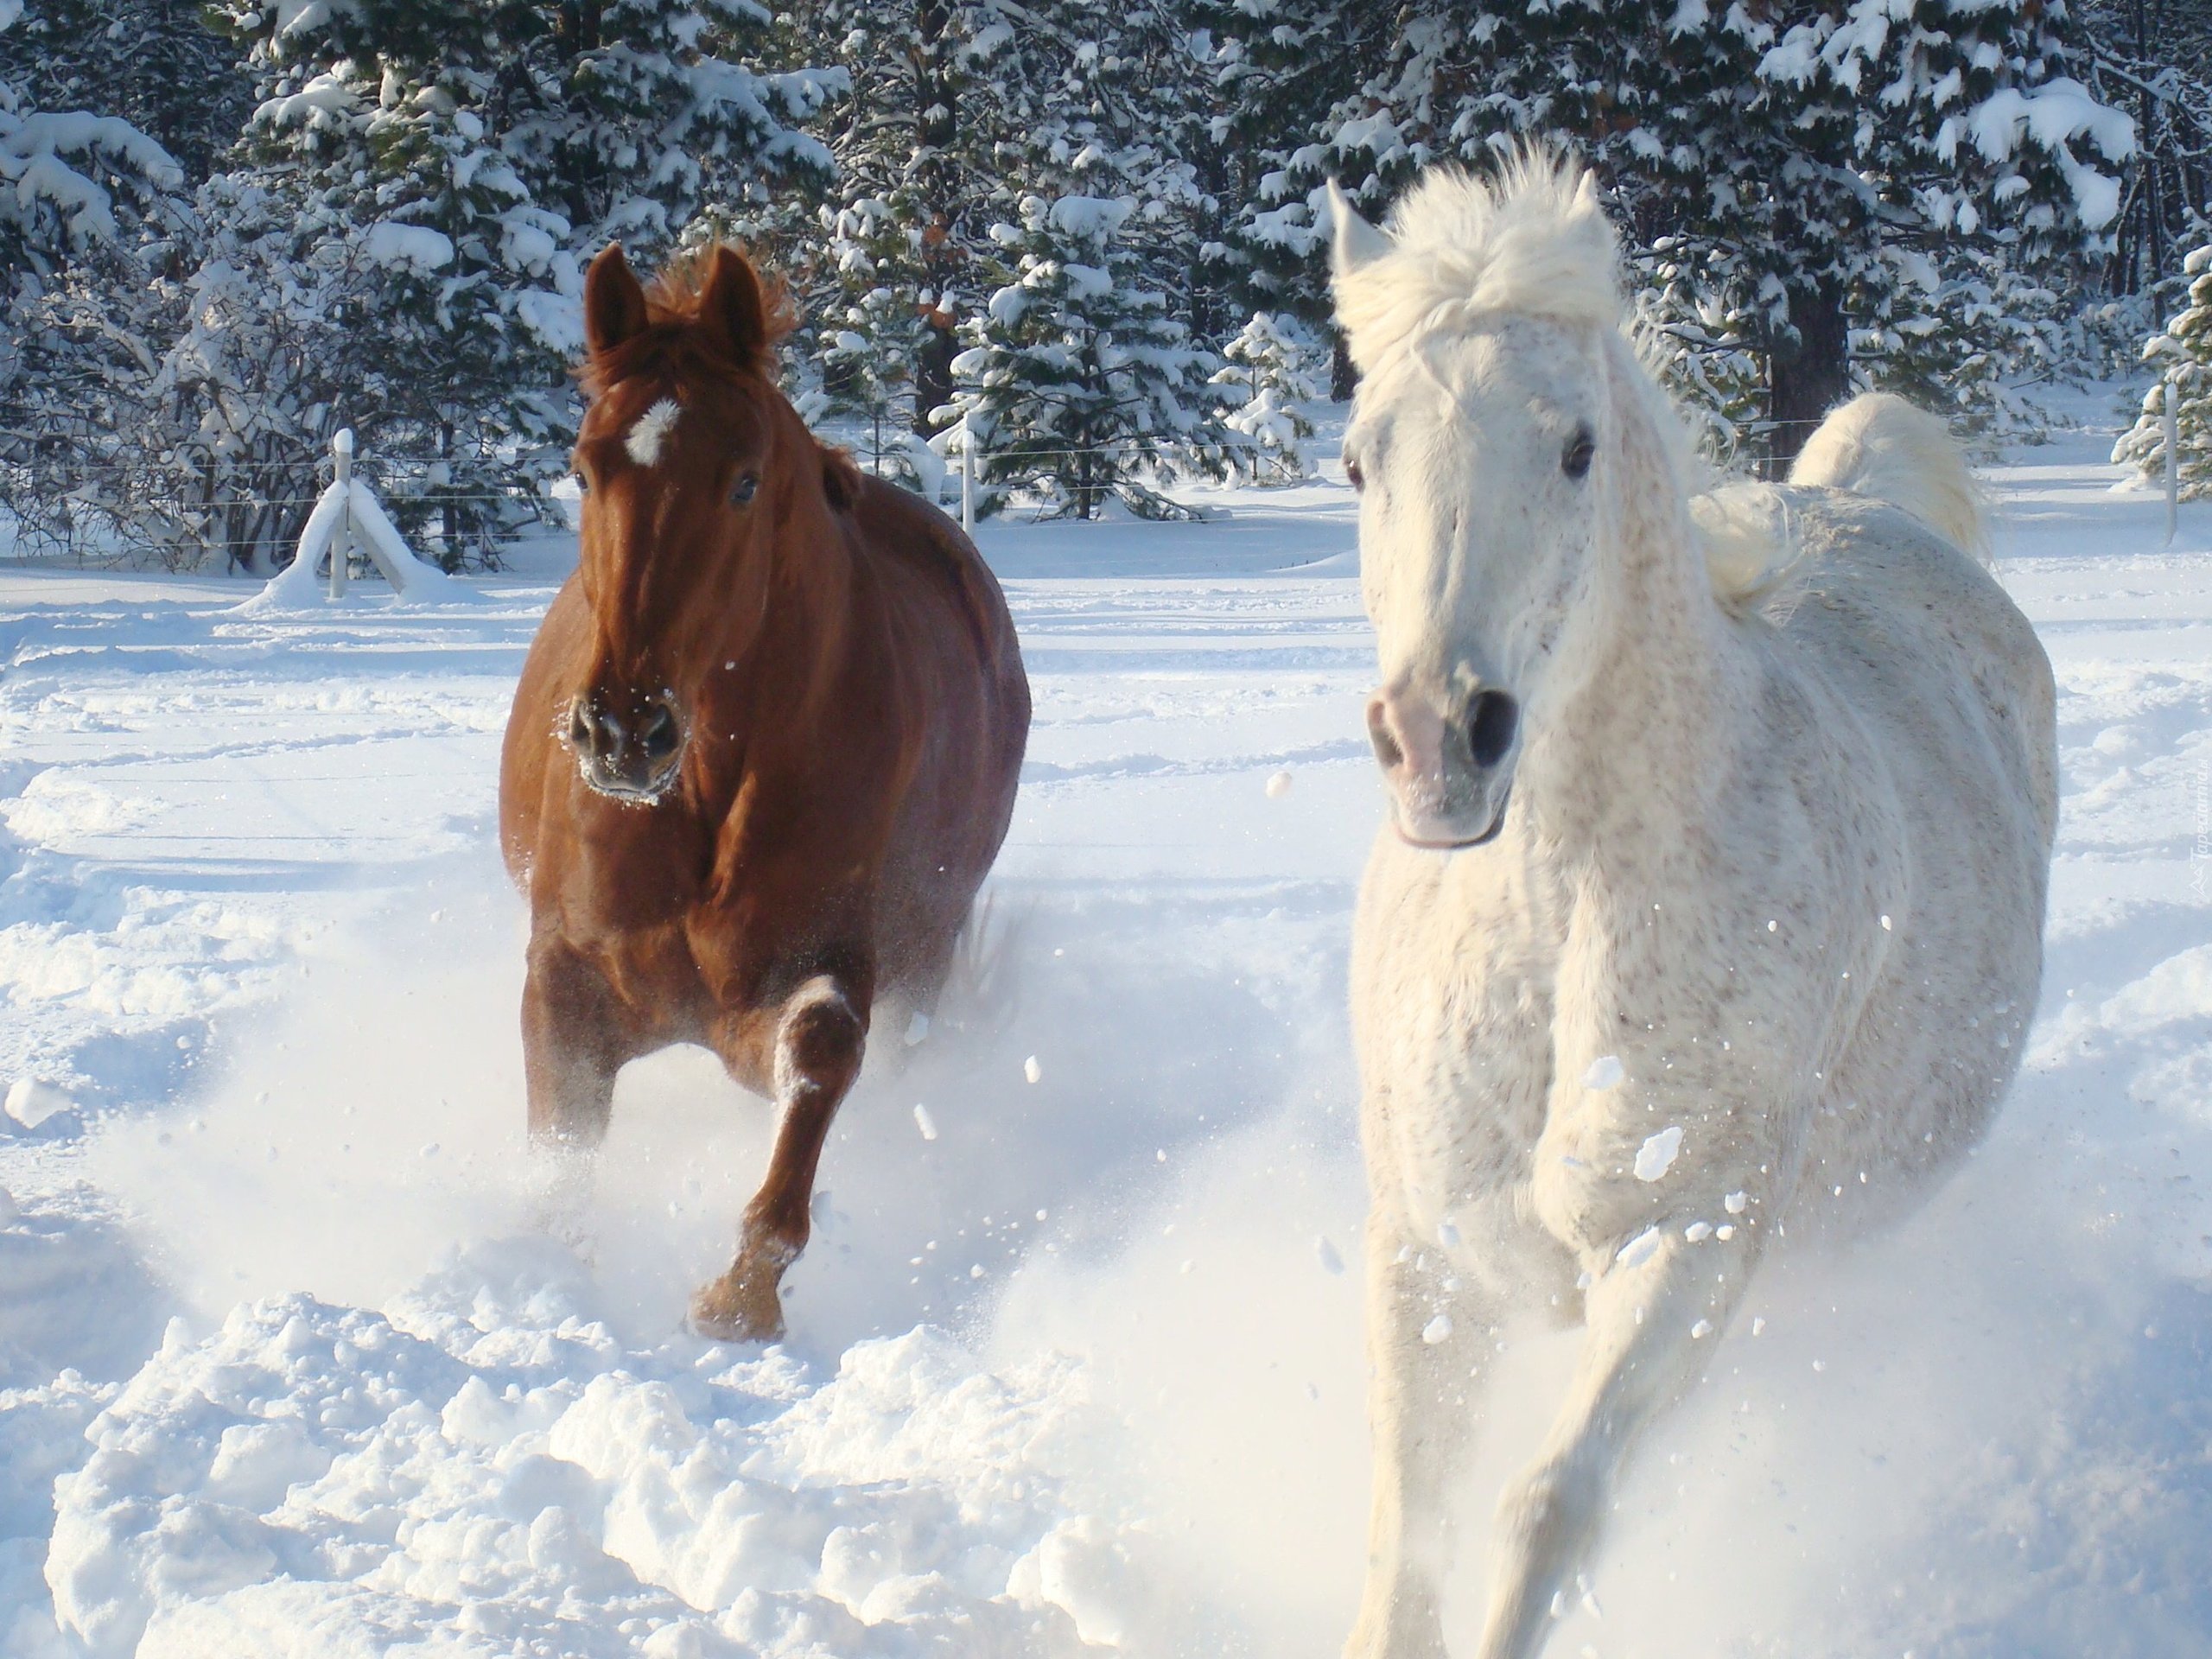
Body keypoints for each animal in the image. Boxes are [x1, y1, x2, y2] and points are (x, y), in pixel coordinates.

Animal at [502, 239, 1026, 1344]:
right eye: (583, 467)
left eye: (744, 482)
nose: (624, 730)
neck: (703, 794)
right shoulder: (564, 979)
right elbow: (560, 1162)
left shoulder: (817, 973)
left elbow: (819, 1056)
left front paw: (741, 1294)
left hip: (925, 965)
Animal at [1327, 159, 2052, 1659]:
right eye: (1361, 456)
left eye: (1577, 447)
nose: (1440, 743)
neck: (1556, 921)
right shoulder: (1425, 1258)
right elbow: (1406, 1546)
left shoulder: (1686, 1247)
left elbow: (1545, 1510)